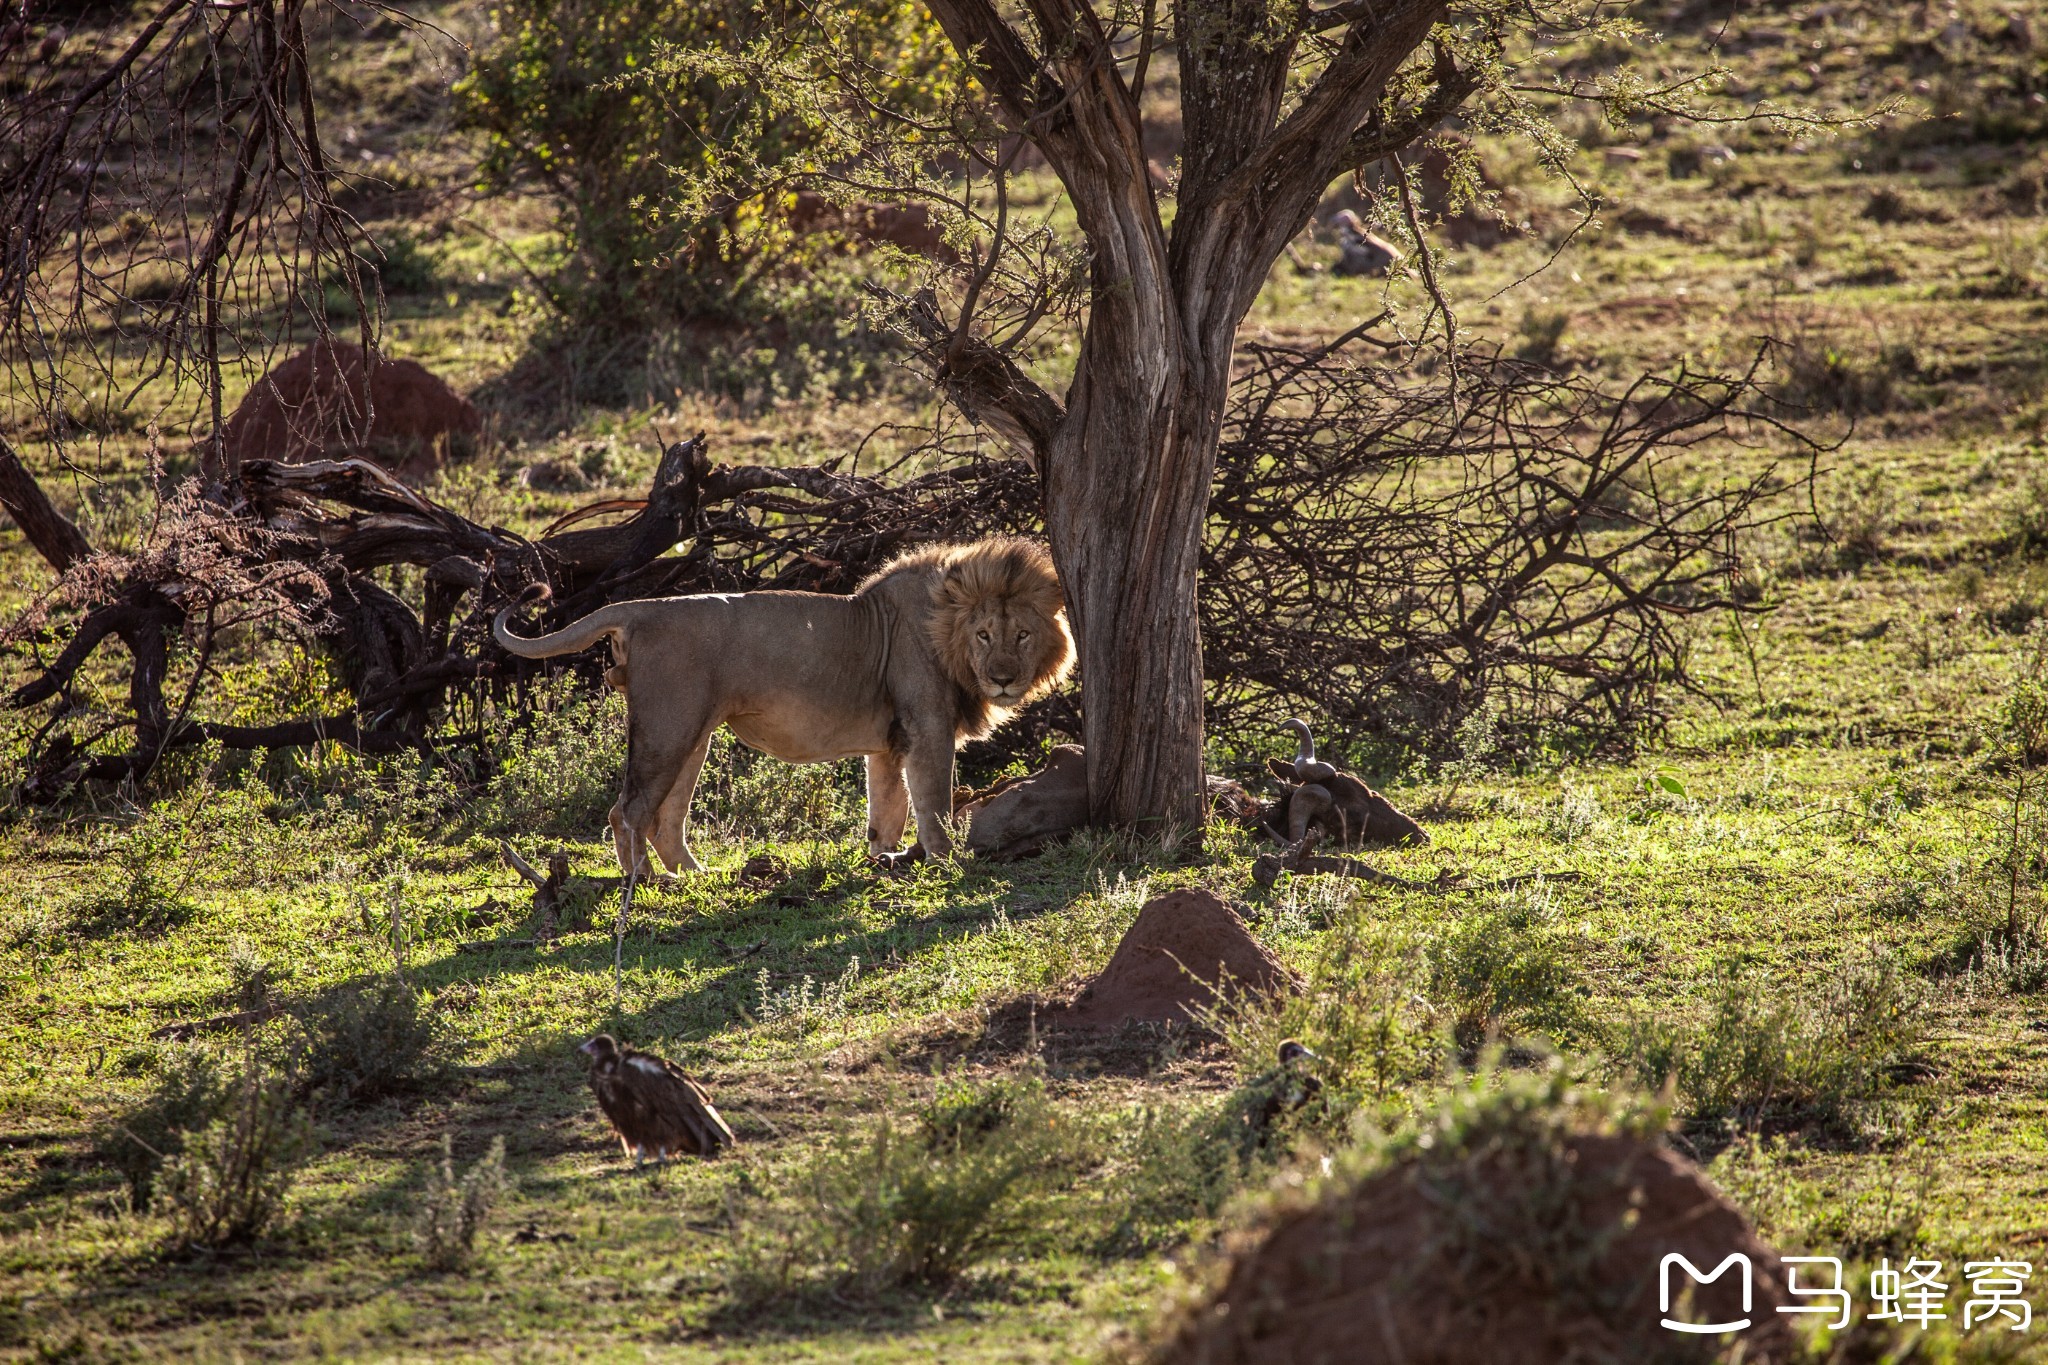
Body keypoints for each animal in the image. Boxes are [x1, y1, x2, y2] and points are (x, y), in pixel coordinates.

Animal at [491, 540, 1073, 879]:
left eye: (1022, 635)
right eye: (984, 635)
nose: (1003, 678)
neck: (944, 629)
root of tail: (636, 609)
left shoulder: (891, 742)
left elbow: (887, 810)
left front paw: (884, 860)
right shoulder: (927, 730)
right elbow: (933, 803)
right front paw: (947, 860)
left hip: (692, 733)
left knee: (666, 816)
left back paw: (695, 876)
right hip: (668, 727)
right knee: (629, 811)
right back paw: (649, 881)